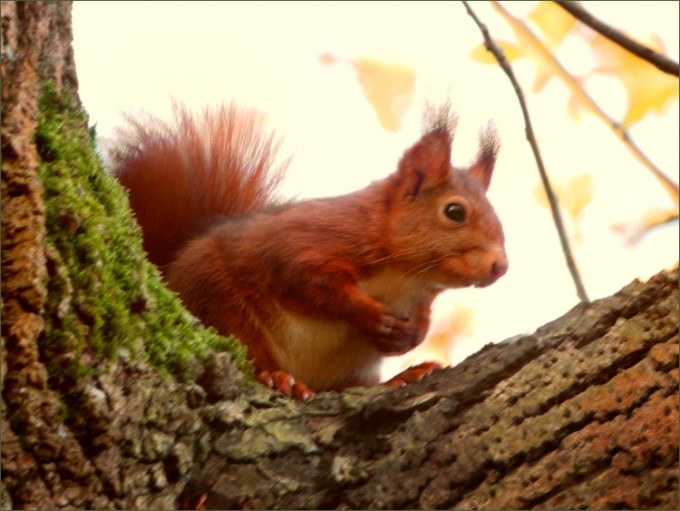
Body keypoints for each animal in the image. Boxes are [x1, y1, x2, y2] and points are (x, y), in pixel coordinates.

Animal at [114, 103, 508, 399]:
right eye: (454, 212)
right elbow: (312, 282)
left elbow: (422, 325)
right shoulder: (305, 243)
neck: (404, 278)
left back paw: (403, 376)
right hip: (221, 306)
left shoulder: (419, 300)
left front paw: (407, 338)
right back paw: (279, 378)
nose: (500, 267)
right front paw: (370, 314)